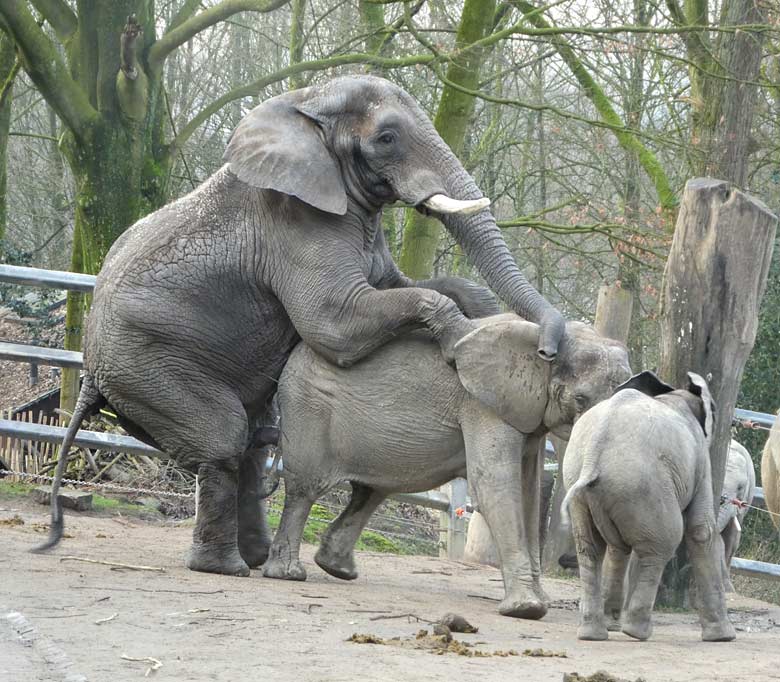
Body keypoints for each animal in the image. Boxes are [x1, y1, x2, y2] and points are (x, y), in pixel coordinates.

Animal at [36, 75, 564, 572]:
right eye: (387, 137)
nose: (549, 349)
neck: (307, 99)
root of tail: (90, 372)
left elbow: (405, 285)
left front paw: (486, 314)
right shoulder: (294, 226)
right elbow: (335, 322)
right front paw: (460, 343)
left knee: (251, 440)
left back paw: (254, 558)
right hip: (145, 364)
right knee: (224, 437)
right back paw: (224, 567)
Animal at [262, 316, 628, 620]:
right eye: (580, 400)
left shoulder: (527, 418)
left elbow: (528, 492)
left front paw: (540, 601)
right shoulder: (482, 405)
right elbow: (494, 482)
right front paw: (527, 609)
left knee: (372, 490)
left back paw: (337, 568)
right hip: (308, 407)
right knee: (305, 488)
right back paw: (288, 573)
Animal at [560, 370, 736, 640]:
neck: (675, 395)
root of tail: (594, 454)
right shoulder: (701, 460)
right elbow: (701, 529)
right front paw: (724, 637)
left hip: (584, 487)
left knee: (591, 549)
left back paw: (594, 633)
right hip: (643, 488)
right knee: (661, 546)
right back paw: (636, 632)